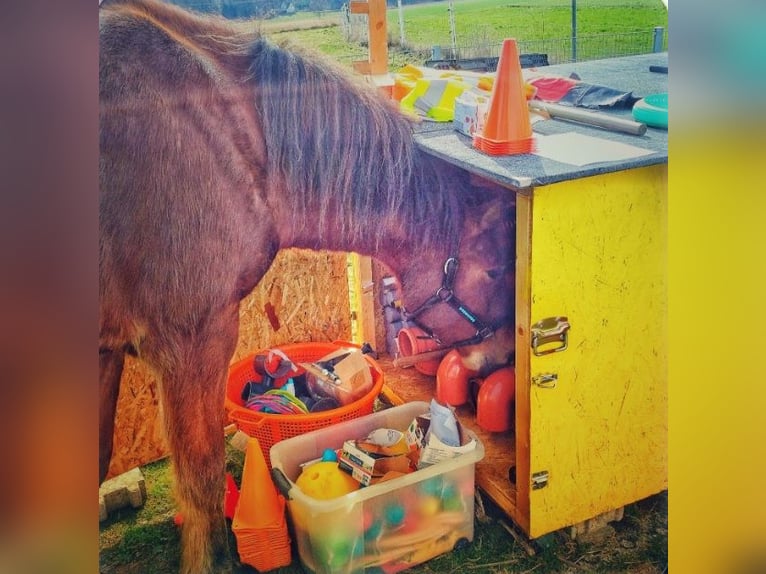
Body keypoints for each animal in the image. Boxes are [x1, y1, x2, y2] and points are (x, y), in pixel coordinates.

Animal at [97, 2, 516, 572]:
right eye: (494, 271)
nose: (504, 356)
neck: (236, 143)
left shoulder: (104, 352)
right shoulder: (190, 344)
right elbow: (202, 481)